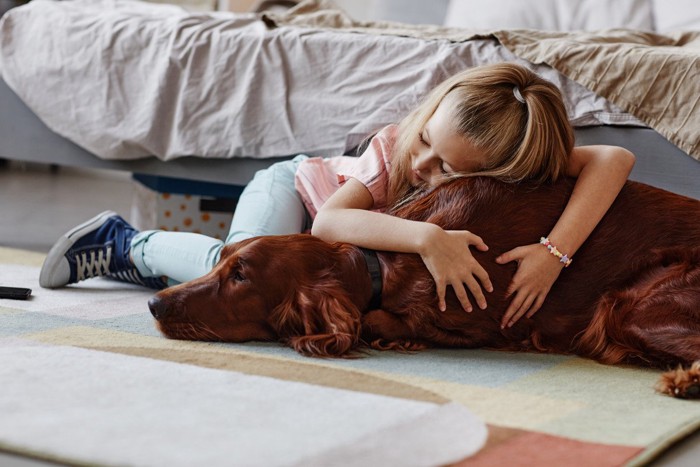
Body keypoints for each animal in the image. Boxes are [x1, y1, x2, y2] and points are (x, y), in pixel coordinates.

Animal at [149, 177, 700, 400]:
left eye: (241, 276)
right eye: (223, 260)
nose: (154, 304)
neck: (382, 265)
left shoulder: (486, 324)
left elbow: (376, 319)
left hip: (632, 307)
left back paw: (683, 382)